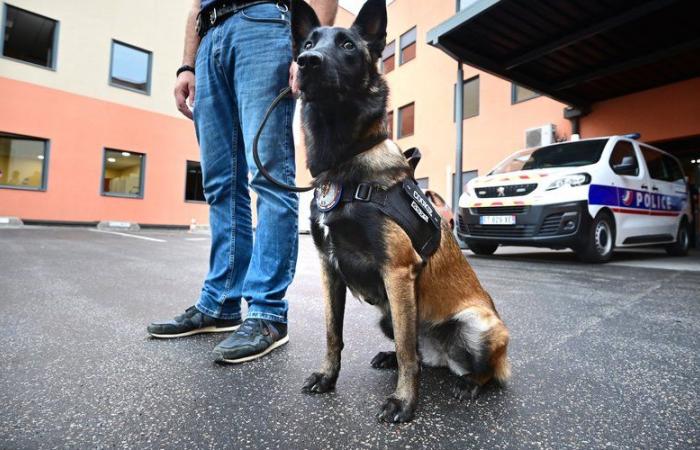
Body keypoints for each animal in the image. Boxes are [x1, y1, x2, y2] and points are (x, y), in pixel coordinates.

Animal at [292, 0, 512, 422]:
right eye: (309, 42)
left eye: (347, 45)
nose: (306, 61)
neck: (344, 162)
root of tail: (445, 355)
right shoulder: (330, 270)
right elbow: (332, 333)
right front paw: (328, 377)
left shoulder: (396, 271)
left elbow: (410, 354)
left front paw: (404, 402)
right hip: (387, 316)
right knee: (415, 351)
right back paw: (390, 358)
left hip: (478, 324)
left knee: (481, 370)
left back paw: (468, 384)